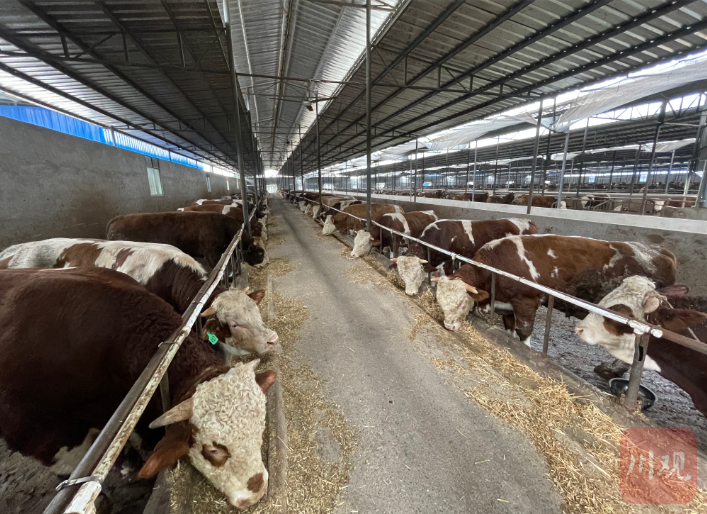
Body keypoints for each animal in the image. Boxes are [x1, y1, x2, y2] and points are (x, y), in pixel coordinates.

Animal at [435, 235, 676, 339]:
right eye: (439, 301)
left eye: (462, 302)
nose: (448, 326)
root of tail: (662, 251)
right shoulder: (509, 306)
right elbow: (510, 328)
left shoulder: (527, 302)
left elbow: (524, 332)